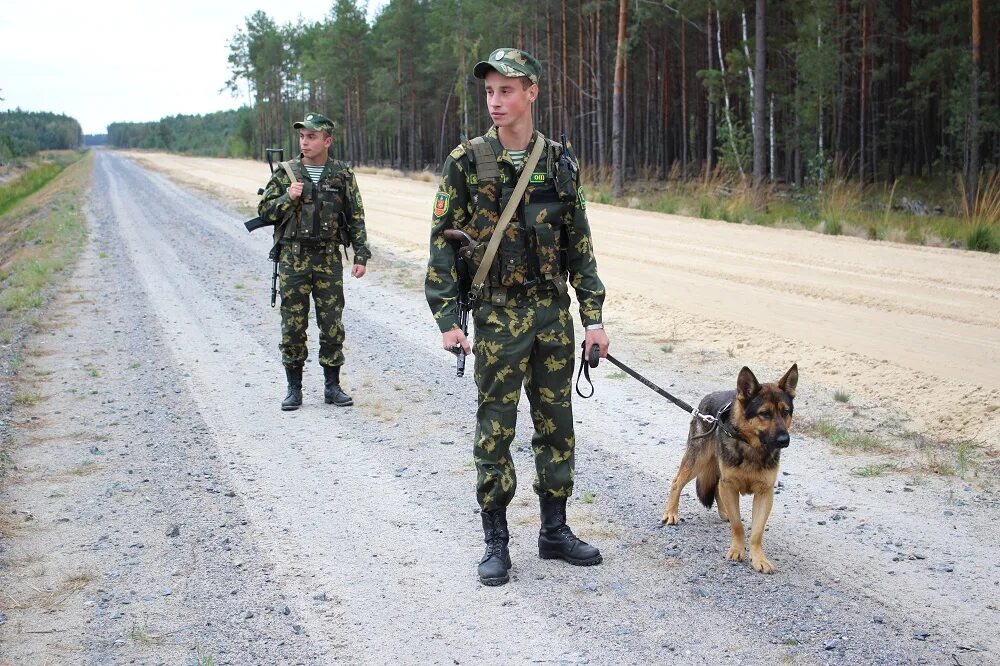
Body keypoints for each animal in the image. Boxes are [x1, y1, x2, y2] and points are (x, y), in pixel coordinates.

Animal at [660, 364, 800, 572]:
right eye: (764, 413)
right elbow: (738, 525)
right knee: (677, 482)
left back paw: (724, 511)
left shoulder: (764, 493)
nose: (785, 440)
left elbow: (757, 532)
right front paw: (737, 550)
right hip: (698, 460)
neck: (751, 447)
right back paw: (671, 513)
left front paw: (758, 559)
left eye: (786, 412)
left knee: (717, 488)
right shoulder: (731, 485)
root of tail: (707, 399)